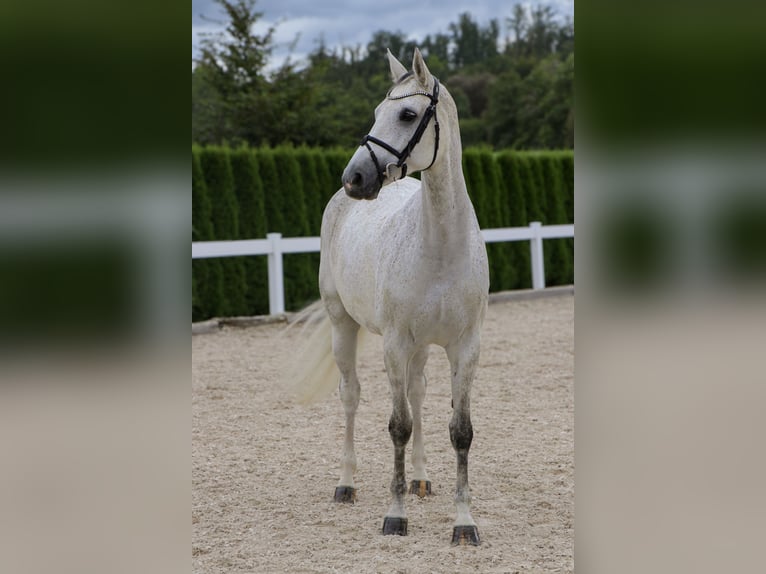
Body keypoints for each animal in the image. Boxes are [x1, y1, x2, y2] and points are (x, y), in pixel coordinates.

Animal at [294, 48, 492, 544]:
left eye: (407, 114)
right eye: (375, 112)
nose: (355, 177)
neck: (440, 246)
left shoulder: (466, 347)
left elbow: (460, 431)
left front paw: (464, 523)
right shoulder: (395, 343)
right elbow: (398, 426)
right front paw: (395, 515)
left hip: (421, 349)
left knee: (418, 394)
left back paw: (421, 478)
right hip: (343, 326)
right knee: (350, 396)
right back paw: (346, 484)